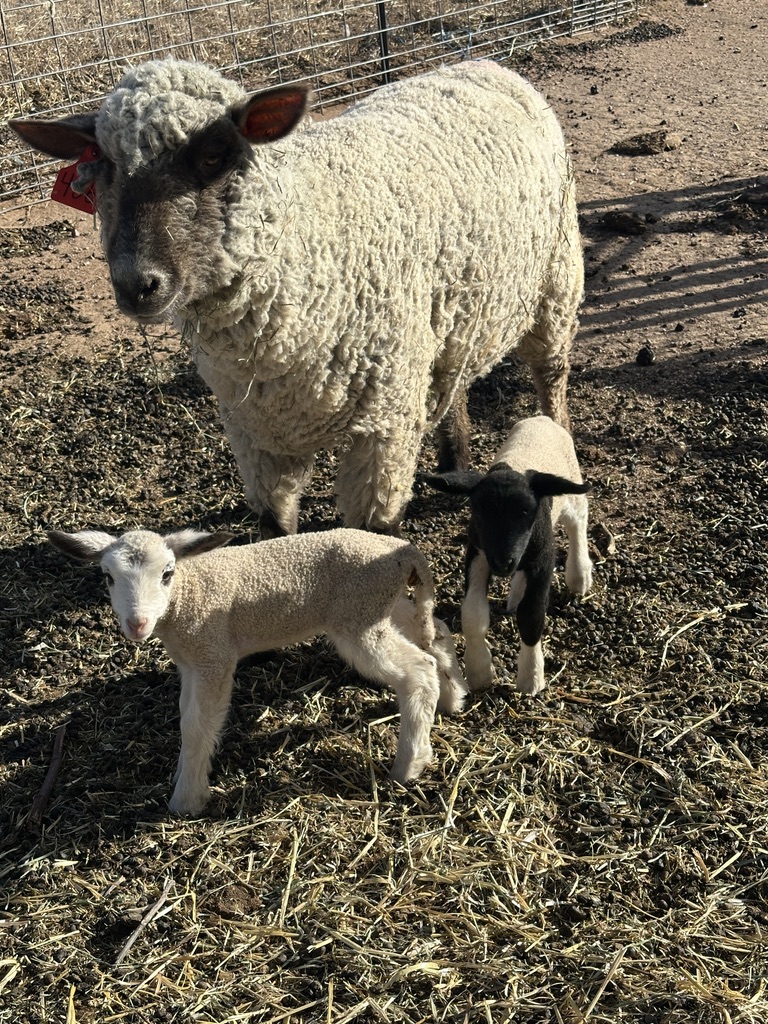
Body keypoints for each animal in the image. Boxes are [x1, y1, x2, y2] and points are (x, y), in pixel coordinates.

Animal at [12, 58, 584, 537]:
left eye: (215, 154)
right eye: (102, 168)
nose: (137, 285)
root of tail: (483, 63)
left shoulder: (384, 428)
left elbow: (376, 536)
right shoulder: (255, 435)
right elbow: (275, 530)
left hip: (556, 282)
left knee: (551, 379)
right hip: (455, 312)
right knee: (454, 380)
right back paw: (454, 462)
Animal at [48, 526, 467, 815]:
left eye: (167, 573)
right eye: (107, 577)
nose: (137, 625)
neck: (186, 597)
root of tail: (405, 551)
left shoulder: (213, 655)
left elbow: (197, 726)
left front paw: (187, 799)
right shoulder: (191, 662)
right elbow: (185, 717)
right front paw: (184, 777)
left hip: (359, 617)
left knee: (418, 669)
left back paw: (409, 764)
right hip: (380, 605)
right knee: (435, 632)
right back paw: (453, 697)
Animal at [423, 415, 593, 696]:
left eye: (526, 511)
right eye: (479, 510)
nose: (503, 563)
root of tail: (542, 418)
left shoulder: (543, 557)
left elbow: (531, 615)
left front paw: (531, 677)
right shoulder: (479, 553)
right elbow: (473, 613)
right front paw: (479, 671)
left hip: (570, 480)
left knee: (577, 521)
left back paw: (579, 576)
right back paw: (515, 596)